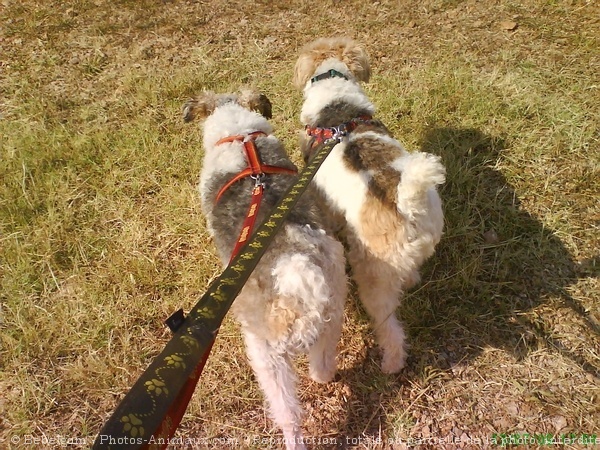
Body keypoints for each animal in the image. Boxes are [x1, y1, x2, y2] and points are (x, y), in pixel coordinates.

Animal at [185, 89, 350, 450]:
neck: (242, 138)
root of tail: (294, 269)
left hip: (266, 357)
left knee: (288, 415)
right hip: (331, 316)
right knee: (322, 366)